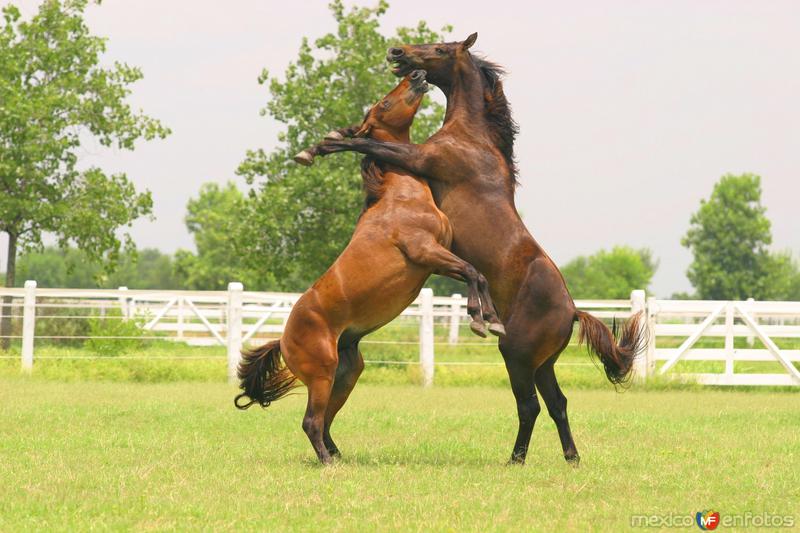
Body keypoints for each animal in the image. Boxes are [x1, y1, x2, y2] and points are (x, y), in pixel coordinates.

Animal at [234, 69, 504, 462]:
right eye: (386, 103)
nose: (417, 75)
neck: (398, 195)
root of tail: (283, 340)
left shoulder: (435, 262)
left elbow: (476, 274)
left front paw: (491, 319)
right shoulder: (425, 252)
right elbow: (472, 272)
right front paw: (481, 320)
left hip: (347, 373)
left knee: (325, 421)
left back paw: (337, 456)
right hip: (322, 375)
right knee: (311, 421)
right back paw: (328, 463)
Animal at [312, 34, 644, 466]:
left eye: (439, 49)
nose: (398, 53)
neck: (472, 136)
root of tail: (572, 311)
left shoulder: (421, 157)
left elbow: (369, 143)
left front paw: (323, 145)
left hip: (517, 356)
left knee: (530, 406)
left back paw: (515, 458)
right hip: (542, 365)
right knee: (558, 403)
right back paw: (571, 457)